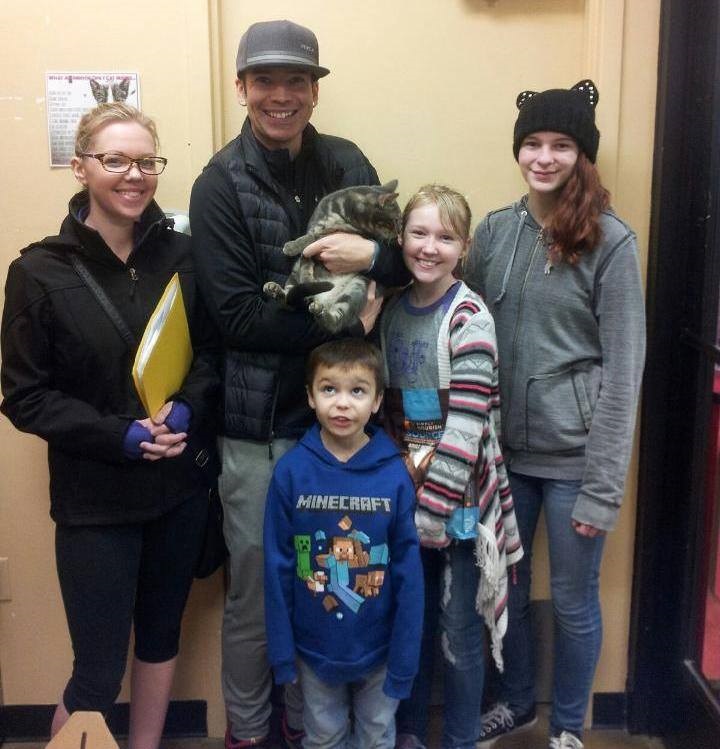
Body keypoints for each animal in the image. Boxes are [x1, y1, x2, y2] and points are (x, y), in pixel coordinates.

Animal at [263, 180, 401, 334]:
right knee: (288, 302)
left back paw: (322, 313)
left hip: (356, 288)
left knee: (335, 323)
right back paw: (275, 290)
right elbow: (307, 253)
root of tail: (323, 300)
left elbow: (314, 238)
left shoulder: (346, 235)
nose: (399, 234)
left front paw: (292, 246)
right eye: (397, 220)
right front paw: (298, 256)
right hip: (293, 276)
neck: (341, 213)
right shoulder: (313, 235)